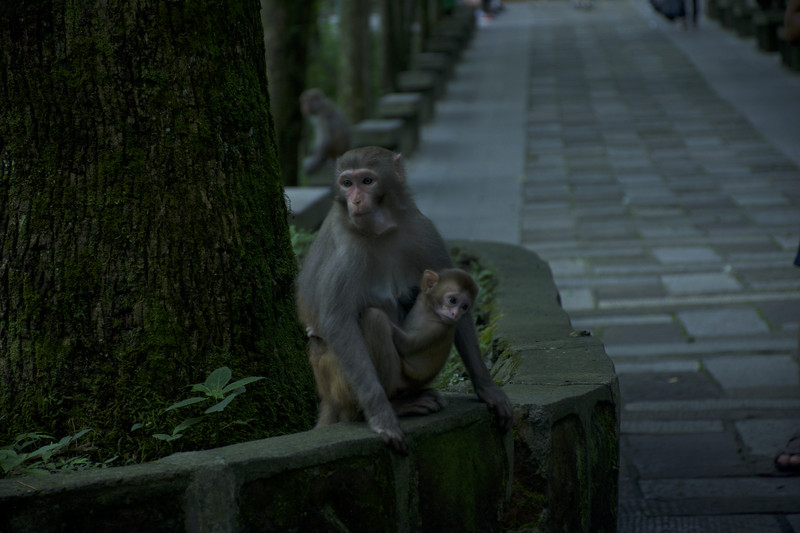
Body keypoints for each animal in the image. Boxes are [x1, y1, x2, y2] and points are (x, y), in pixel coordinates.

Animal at [296, 145, 512, 454]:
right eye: (347, 183)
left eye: (367, 181)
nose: (356, 200)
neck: (380, 229)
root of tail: (327, 394)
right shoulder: (346, 252)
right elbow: (337, 321)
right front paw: (381, 415)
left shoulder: (422, 228)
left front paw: (487, 389)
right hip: (339, 383)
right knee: (372, 320)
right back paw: (393, 405)